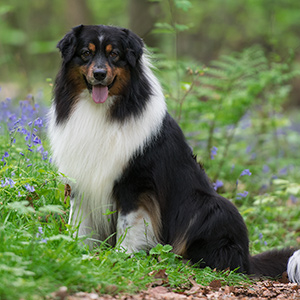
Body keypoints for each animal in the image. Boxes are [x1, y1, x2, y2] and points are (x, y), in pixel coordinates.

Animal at [48, 24, 298, 284]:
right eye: (86, 53)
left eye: (114, 54)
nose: (98, 73)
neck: (102, 110)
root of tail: (248, 261)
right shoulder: (82, 178)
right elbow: (80, 223)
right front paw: (77, 250)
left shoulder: (135, 183)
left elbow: (128, 224)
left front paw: (122, 256)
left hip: (214, 206)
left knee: (222, 260)